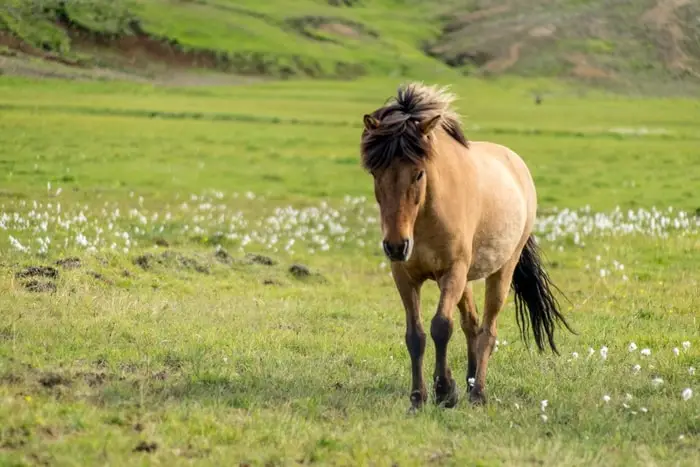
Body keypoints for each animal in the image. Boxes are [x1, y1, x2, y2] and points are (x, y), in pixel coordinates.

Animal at [360, 83, 576, 410]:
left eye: (419, 173)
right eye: (375, 173)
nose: (396, 246)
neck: (426, 216)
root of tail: (517, 164)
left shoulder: (453, 272)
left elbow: (441, 327)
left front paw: (443, 391)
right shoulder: (404, 276)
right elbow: (416, 336)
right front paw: (419, 397)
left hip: (501, 270)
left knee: (487, 330)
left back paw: (478, 393)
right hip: (466, 278)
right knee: (472, 325)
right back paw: (470, 381)